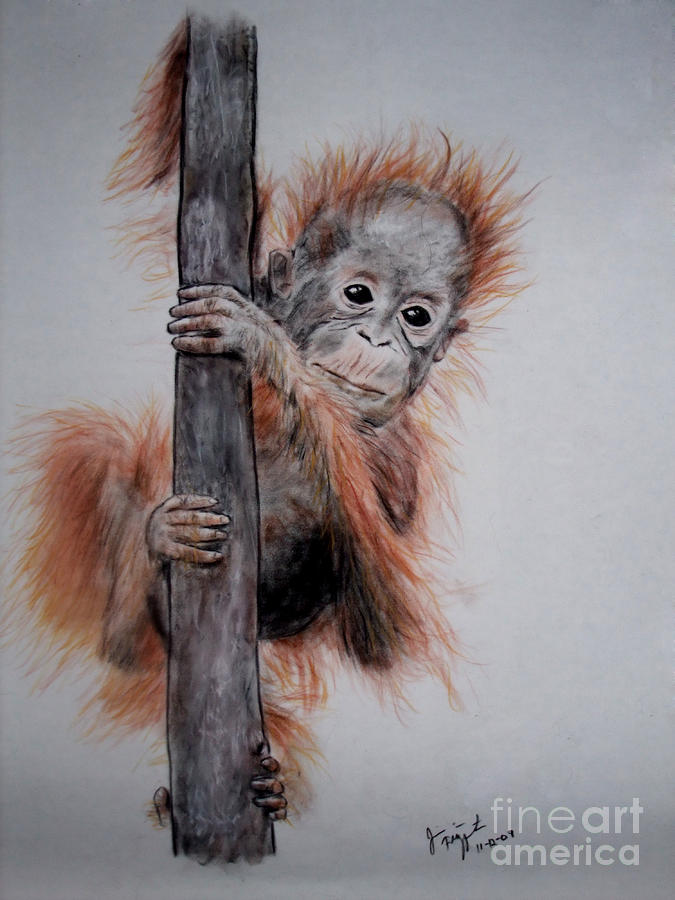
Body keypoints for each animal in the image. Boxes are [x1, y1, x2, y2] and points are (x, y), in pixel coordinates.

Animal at [7, 22, 525, 825]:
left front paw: (265, 345)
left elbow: (389, 638)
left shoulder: (401, 468)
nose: (379, 339)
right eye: (357, 294)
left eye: (416, 316)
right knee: (90, 464)